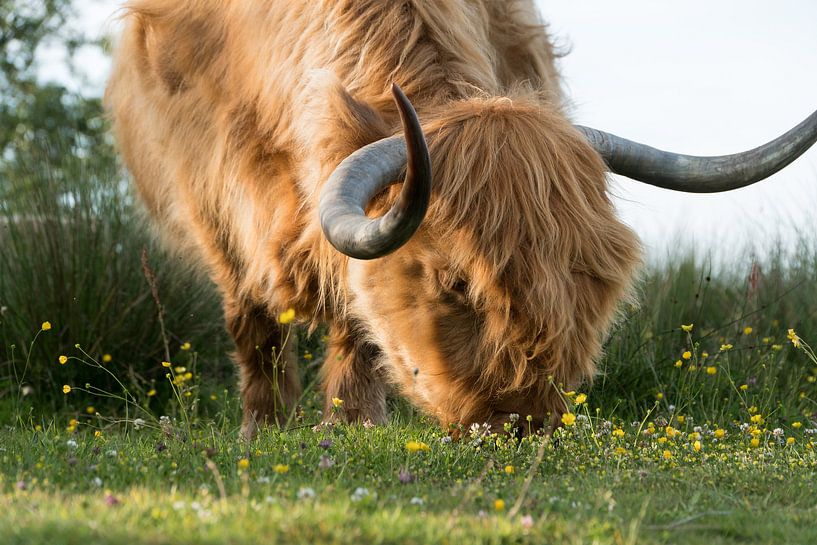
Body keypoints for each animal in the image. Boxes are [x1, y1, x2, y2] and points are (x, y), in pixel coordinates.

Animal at [107, 0, 816, 436]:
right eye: (455, 285)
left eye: (591, 279)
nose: (522, 417)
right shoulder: (215, 196)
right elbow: (255, 323)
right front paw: (266, 427)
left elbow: (359, 319)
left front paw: (352, 421)